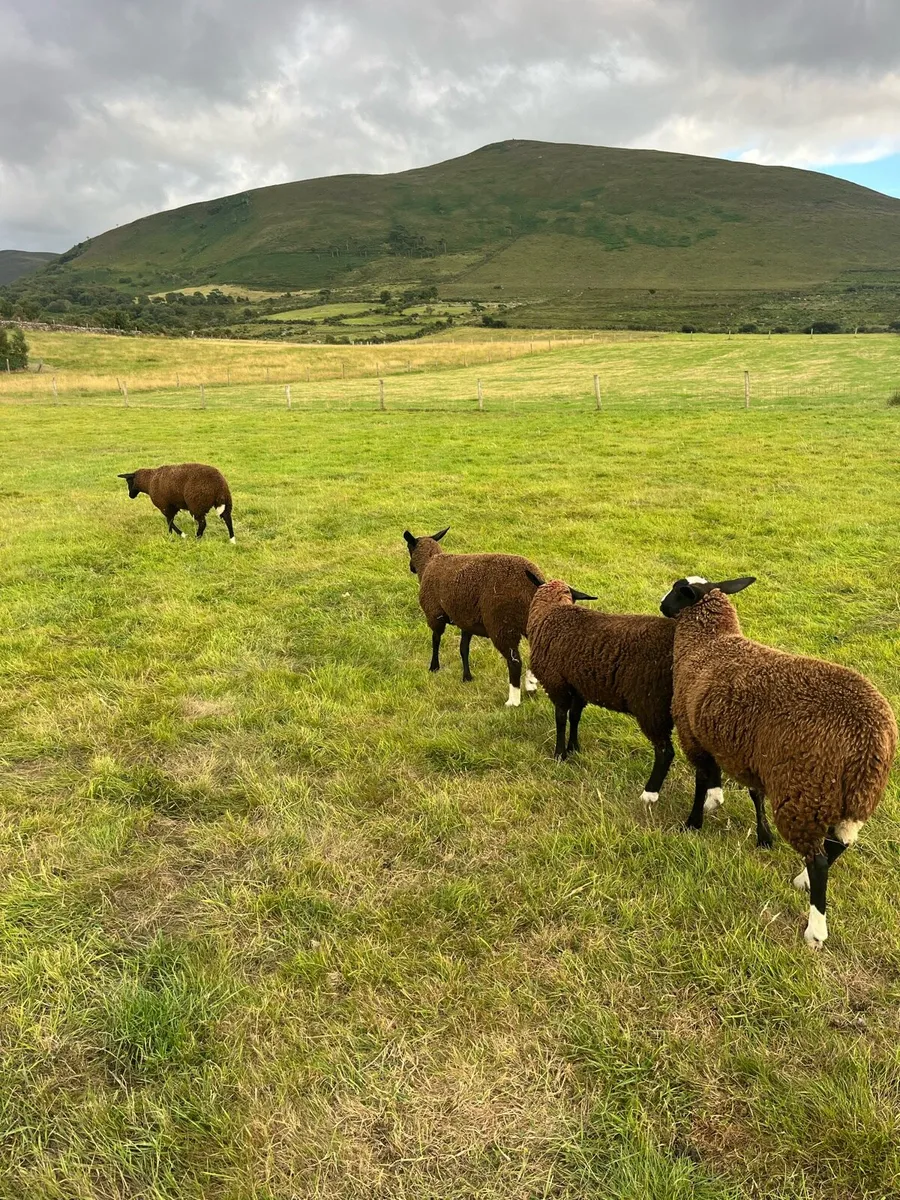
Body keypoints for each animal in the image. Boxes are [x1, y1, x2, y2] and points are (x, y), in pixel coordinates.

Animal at [403, 527, 551, 706]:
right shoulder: (465, 620)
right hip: (532, 622)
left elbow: (436, 641)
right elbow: (463, 649)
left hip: (501, 625)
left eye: (409, 548)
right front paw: (467, 677)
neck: (428, 563)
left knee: (514, 662)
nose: (411, 568)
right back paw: (530, 685)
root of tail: (535, 581)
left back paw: (513, 701)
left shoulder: (434, 615)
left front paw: (434, 667)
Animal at [526, 573, 685, 804]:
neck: (552, 612)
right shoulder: (579, 686)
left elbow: (561, 718)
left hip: (652, 706)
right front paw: (574, 748)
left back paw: (649, 794)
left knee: (665, 752)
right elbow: (574, 717)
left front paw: (559, 754)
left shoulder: (556, 683)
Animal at [660, 575, 897, 949]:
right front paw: (761, 834)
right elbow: (753, 794)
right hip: (849, 799)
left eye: (676, 590)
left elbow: (701, 780)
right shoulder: (749, 755)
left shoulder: (692, 733)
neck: (709, 643)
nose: (661, 605)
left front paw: (694, 821)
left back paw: (816, 929)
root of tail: (873, 741)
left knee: (819, 858)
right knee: (838, 844)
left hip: (804, 793)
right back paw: (803, 881)